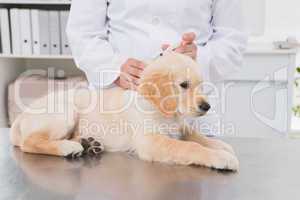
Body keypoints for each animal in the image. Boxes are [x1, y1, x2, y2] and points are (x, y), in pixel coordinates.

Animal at [10, 51, 239, 170]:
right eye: (184, 85)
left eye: (201, 85)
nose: (206, 107)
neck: (159, 109)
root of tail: (21, 116)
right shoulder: (150, 141)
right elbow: (189, 147)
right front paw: (221, 158)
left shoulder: (180, 126)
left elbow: (197, 136)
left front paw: (220, 146)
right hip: (64, 112)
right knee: (29, 142)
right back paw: (68, 147)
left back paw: (88, 143)